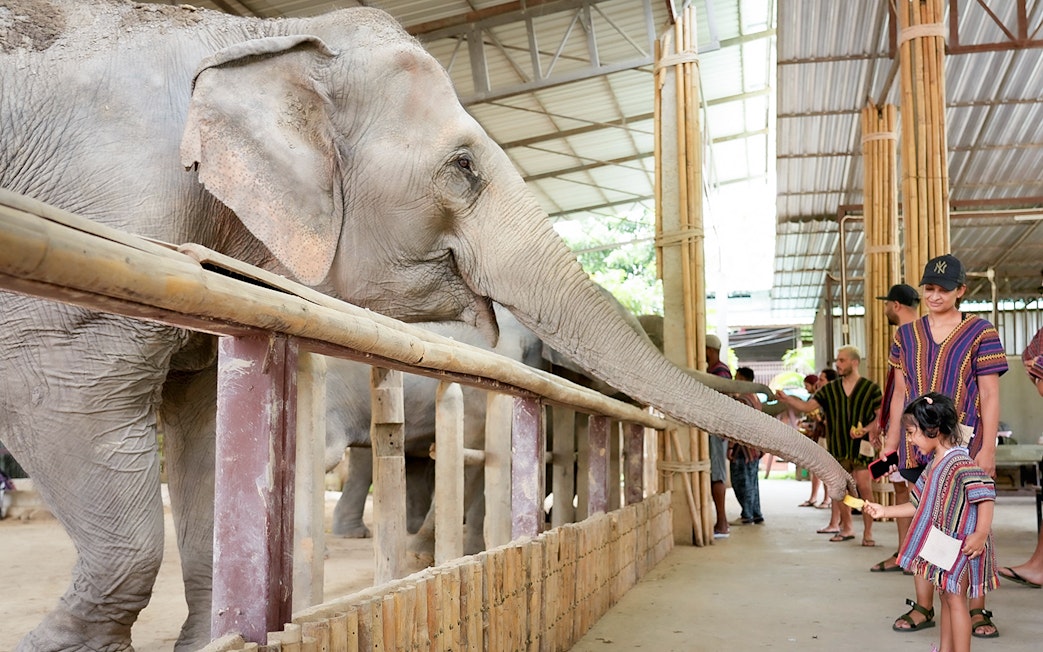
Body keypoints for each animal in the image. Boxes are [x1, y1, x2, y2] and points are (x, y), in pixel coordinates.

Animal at [0, 2, 851, 650]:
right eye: (463, 170)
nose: (845, 485)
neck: (263, 34)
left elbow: (204, 424)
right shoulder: (104, 210)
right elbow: (71, 395)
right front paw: (55, 646)